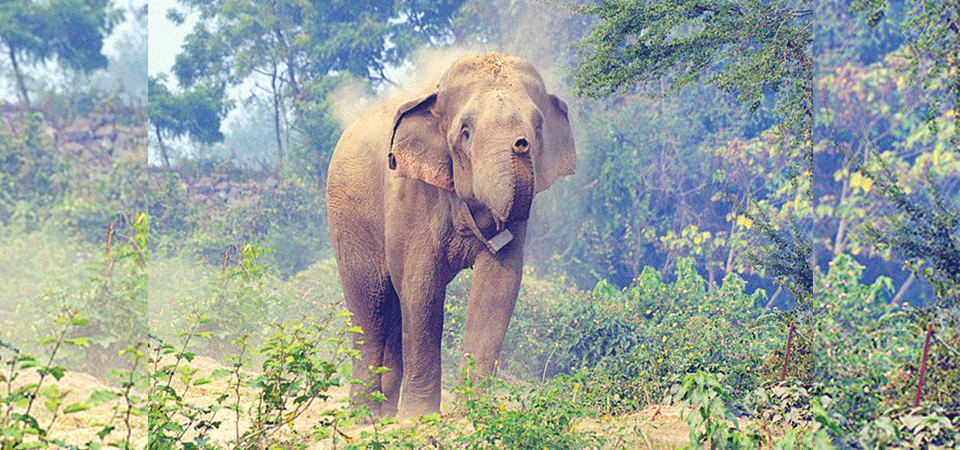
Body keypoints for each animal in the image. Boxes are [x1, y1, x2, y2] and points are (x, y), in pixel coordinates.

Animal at [326, 51, 572, 418]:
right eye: (465, 132)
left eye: (538, 125)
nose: (521, 143)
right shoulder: (412, 194)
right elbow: (422, 286)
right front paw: (418, 417)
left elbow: (498, 286)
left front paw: (476, 411)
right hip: (347, 214)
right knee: (372, 304)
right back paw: (364, 416)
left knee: (393, 309)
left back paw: (385, 413)